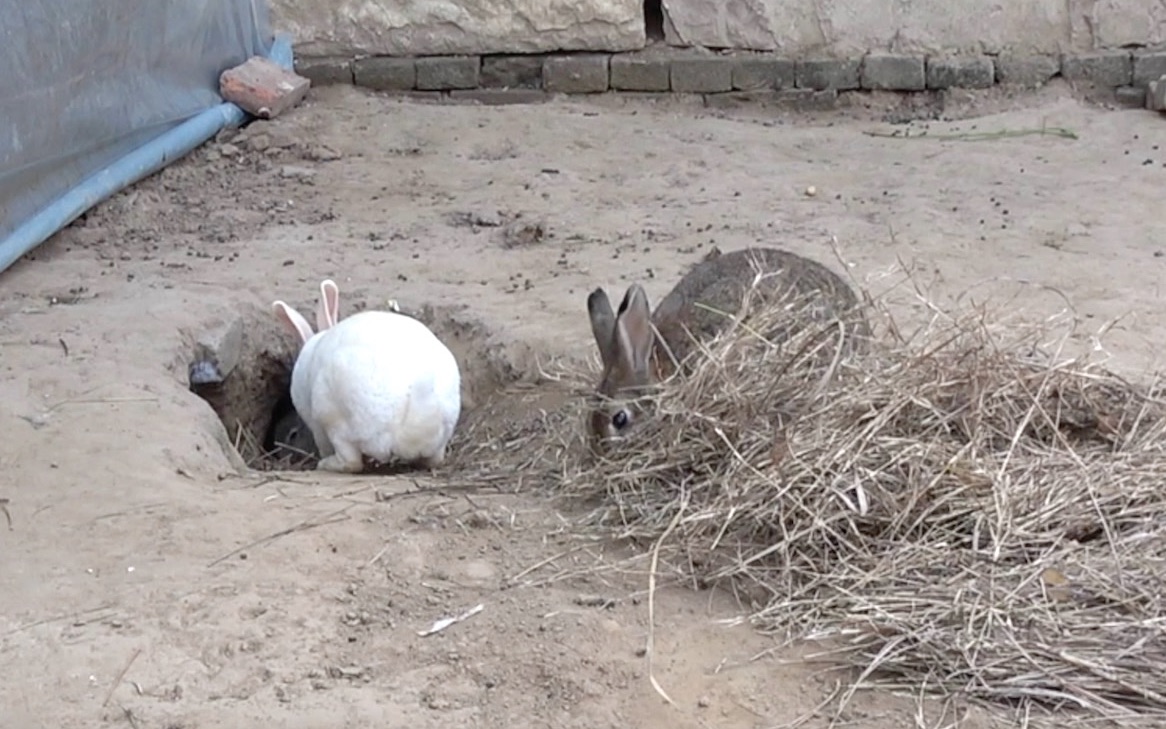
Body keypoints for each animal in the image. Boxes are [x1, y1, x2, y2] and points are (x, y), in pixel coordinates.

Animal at [271, 278, 459, 471]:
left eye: (293, 435)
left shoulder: (316, 424)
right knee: (434, 460)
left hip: (335, 420)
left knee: (351, 462)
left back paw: (325, 464)